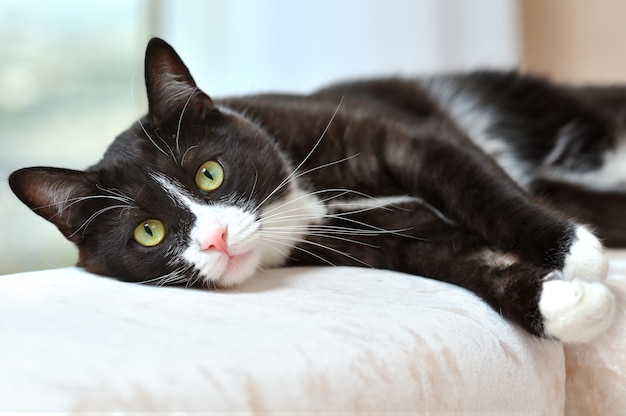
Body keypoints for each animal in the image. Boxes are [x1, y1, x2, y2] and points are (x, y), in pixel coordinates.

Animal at [8, 37, 616, 342]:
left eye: (209, 173)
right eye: (149, 232)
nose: (217, 238)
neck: (302, 205)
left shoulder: (412, 139)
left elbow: (481, 192)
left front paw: (575, 254)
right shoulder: (385, 239)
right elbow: (460, 261)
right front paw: (563, 305)